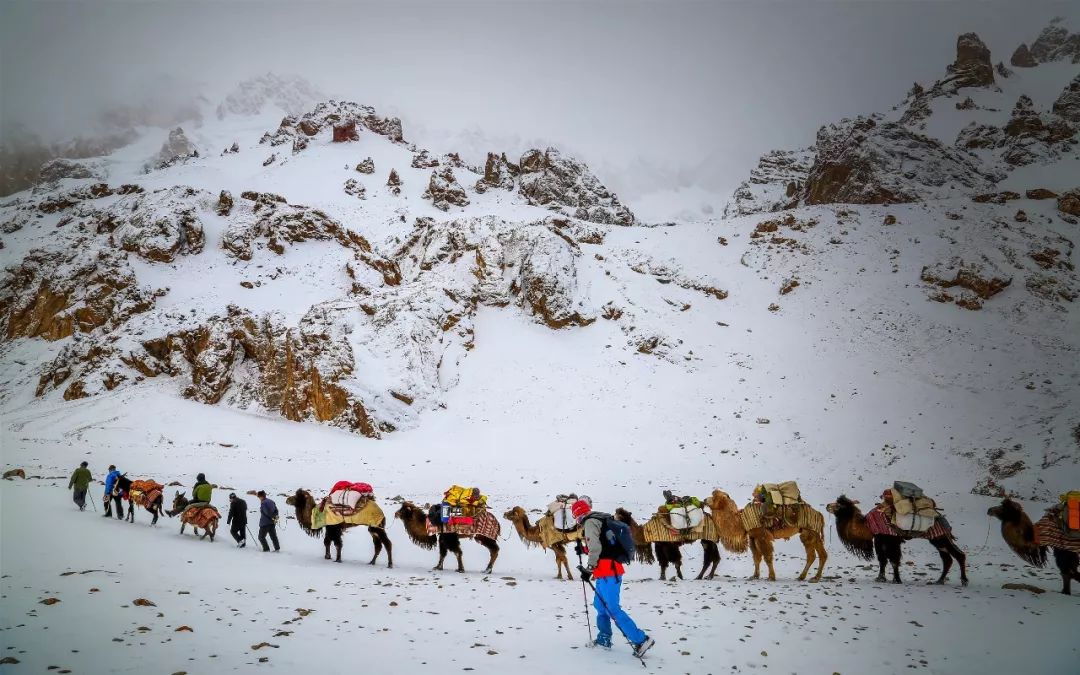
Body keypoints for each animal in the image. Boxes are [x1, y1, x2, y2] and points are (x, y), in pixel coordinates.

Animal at [825, 494, 972, 583]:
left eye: (839, 505)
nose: (827, 505)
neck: (867, 525)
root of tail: (942, 518)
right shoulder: (879, 540)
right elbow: (882, 560)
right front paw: (880, 578)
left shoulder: (890, 539)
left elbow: (893, 560)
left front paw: (896, 579)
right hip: (937, 540)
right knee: (947, 558)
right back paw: (939, 581)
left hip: (940, 538)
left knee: (958, 555)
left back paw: (963, 580)